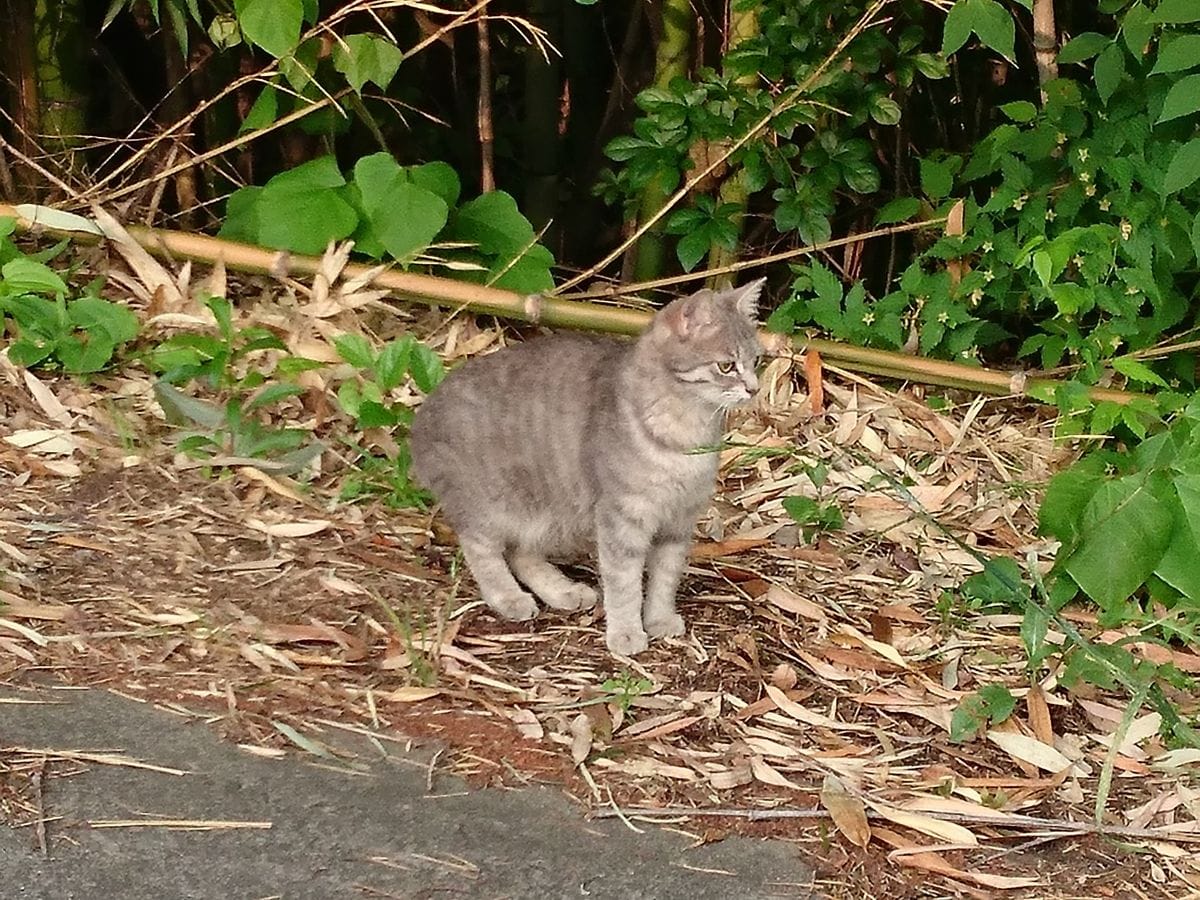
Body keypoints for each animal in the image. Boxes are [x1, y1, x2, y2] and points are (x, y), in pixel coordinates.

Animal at [412, 282, 763, 657]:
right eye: (726, 366)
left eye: (756, 361)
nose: (754, 389)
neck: (687, 434)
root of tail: (420, 422)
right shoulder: (623, 517)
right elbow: (624, 582)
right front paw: (626, 632)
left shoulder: (678, 521)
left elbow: (666, 577)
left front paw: (659, 619)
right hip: (493, 505)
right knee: (482, 549)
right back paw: (508, 597)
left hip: (546, 514)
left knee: (521, 553)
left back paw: (564, 591)